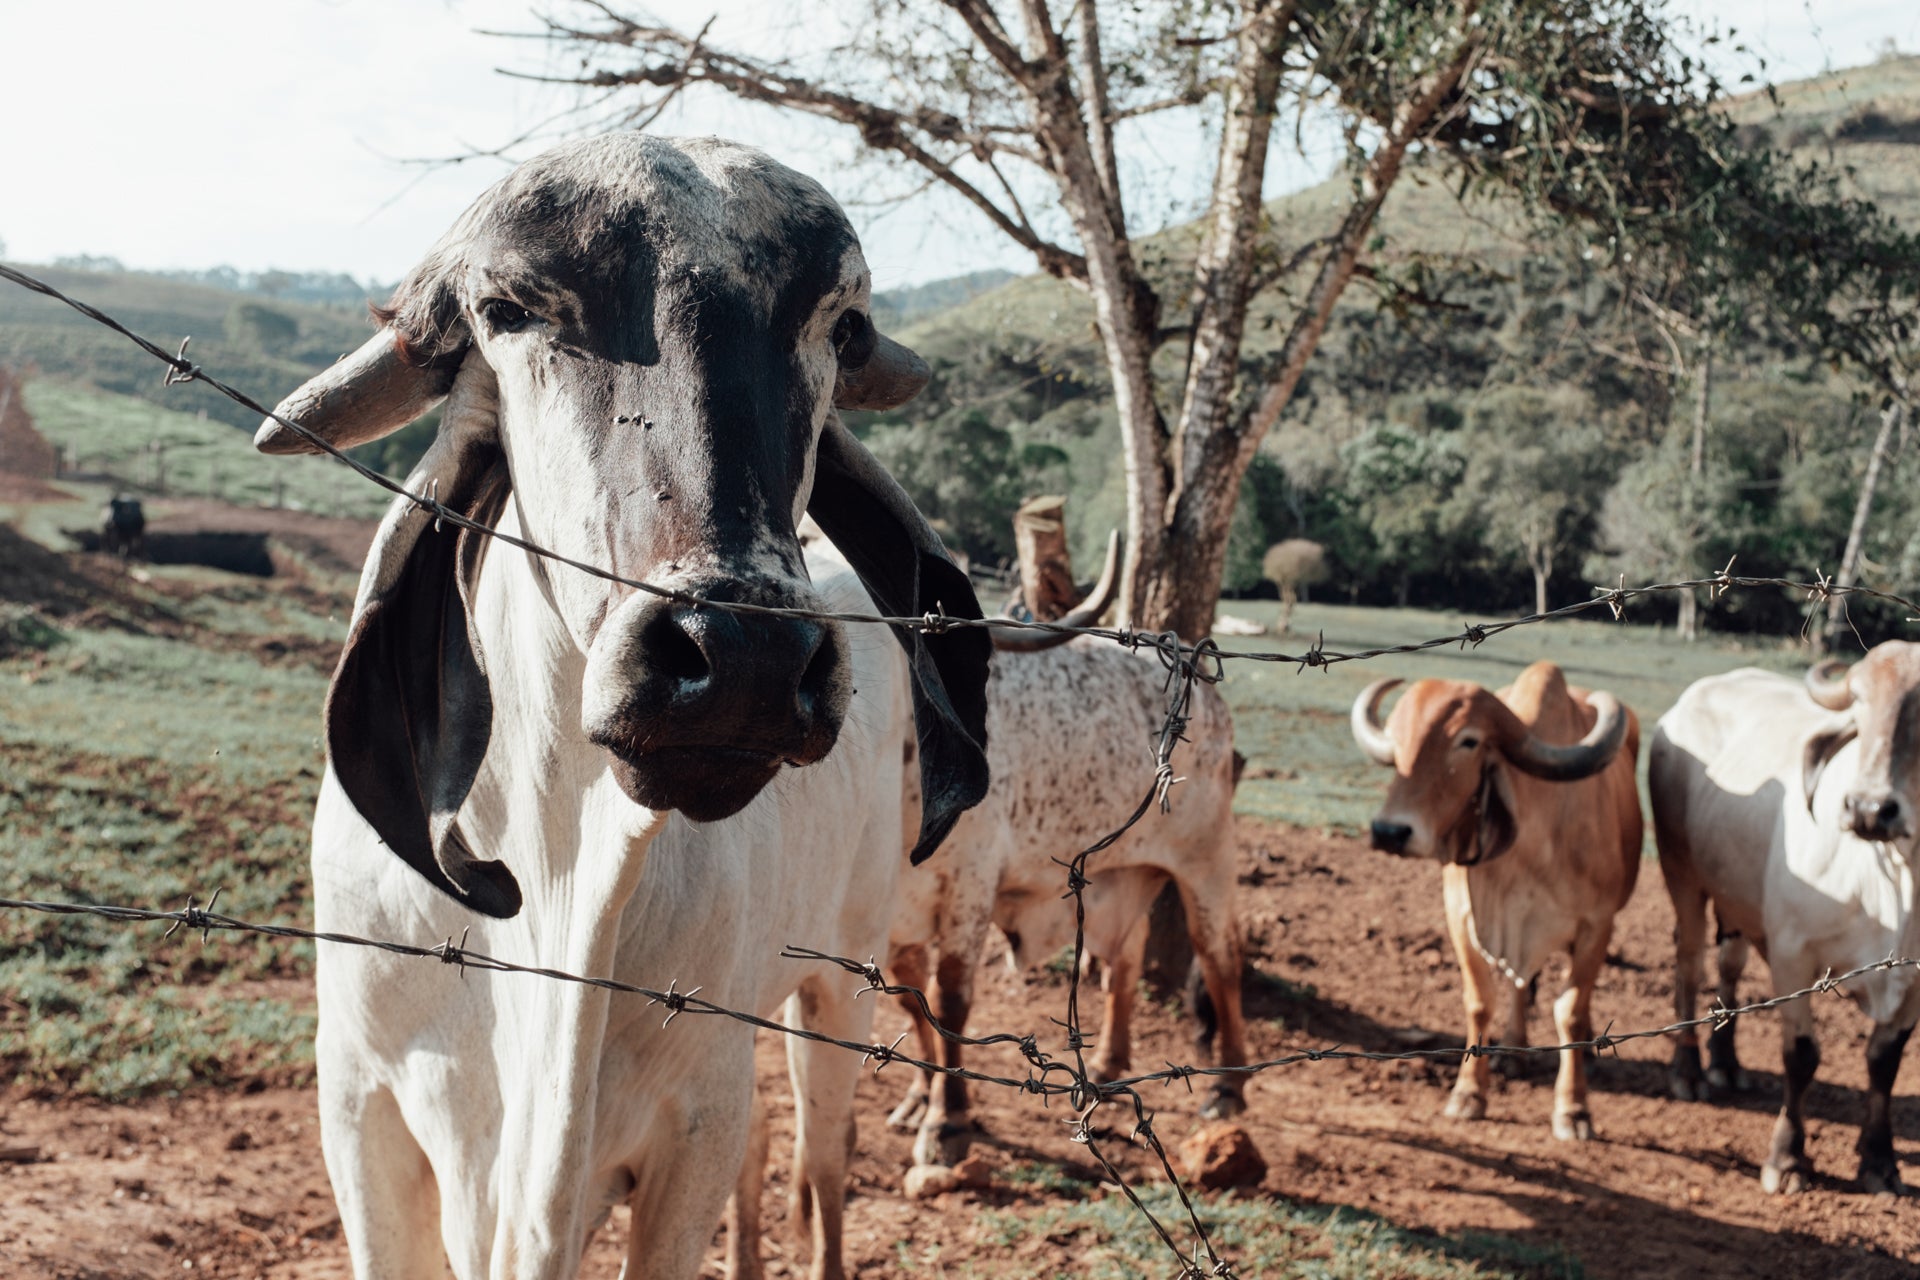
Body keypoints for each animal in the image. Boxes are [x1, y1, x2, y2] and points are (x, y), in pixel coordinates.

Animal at [255, 132, 990, 1280]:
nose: (741, 656)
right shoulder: (361, 1111)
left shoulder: (693, 1124)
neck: (557, 882)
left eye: (843, 324)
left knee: (820, 1159)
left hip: (838, 981)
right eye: (509, 306)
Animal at [1344, 667, 1643, 1136]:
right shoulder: (1463, 916)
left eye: (1467, 741)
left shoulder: (1597, 925)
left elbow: (1570, 1012)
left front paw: (1574, 1108)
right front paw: (1469, 1092)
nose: (1390, 832)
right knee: (1521, 983)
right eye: (1398, 735)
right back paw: (1513, 1048)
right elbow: (1481, 1002)